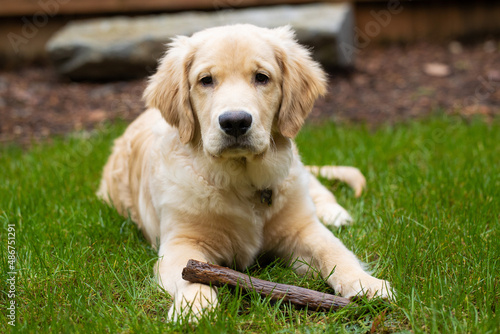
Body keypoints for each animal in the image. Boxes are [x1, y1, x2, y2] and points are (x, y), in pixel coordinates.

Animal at [96, 23, 390, 320]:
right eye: (206, 80)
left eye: (261, 77)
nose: (235, 122)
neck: (242, 181)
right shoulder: (181, 241)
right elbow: (189, 276)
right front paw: (195, 309)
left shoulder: (303, 228)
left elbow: (334, 251)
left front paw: (366, 284)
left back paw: (334, 213)